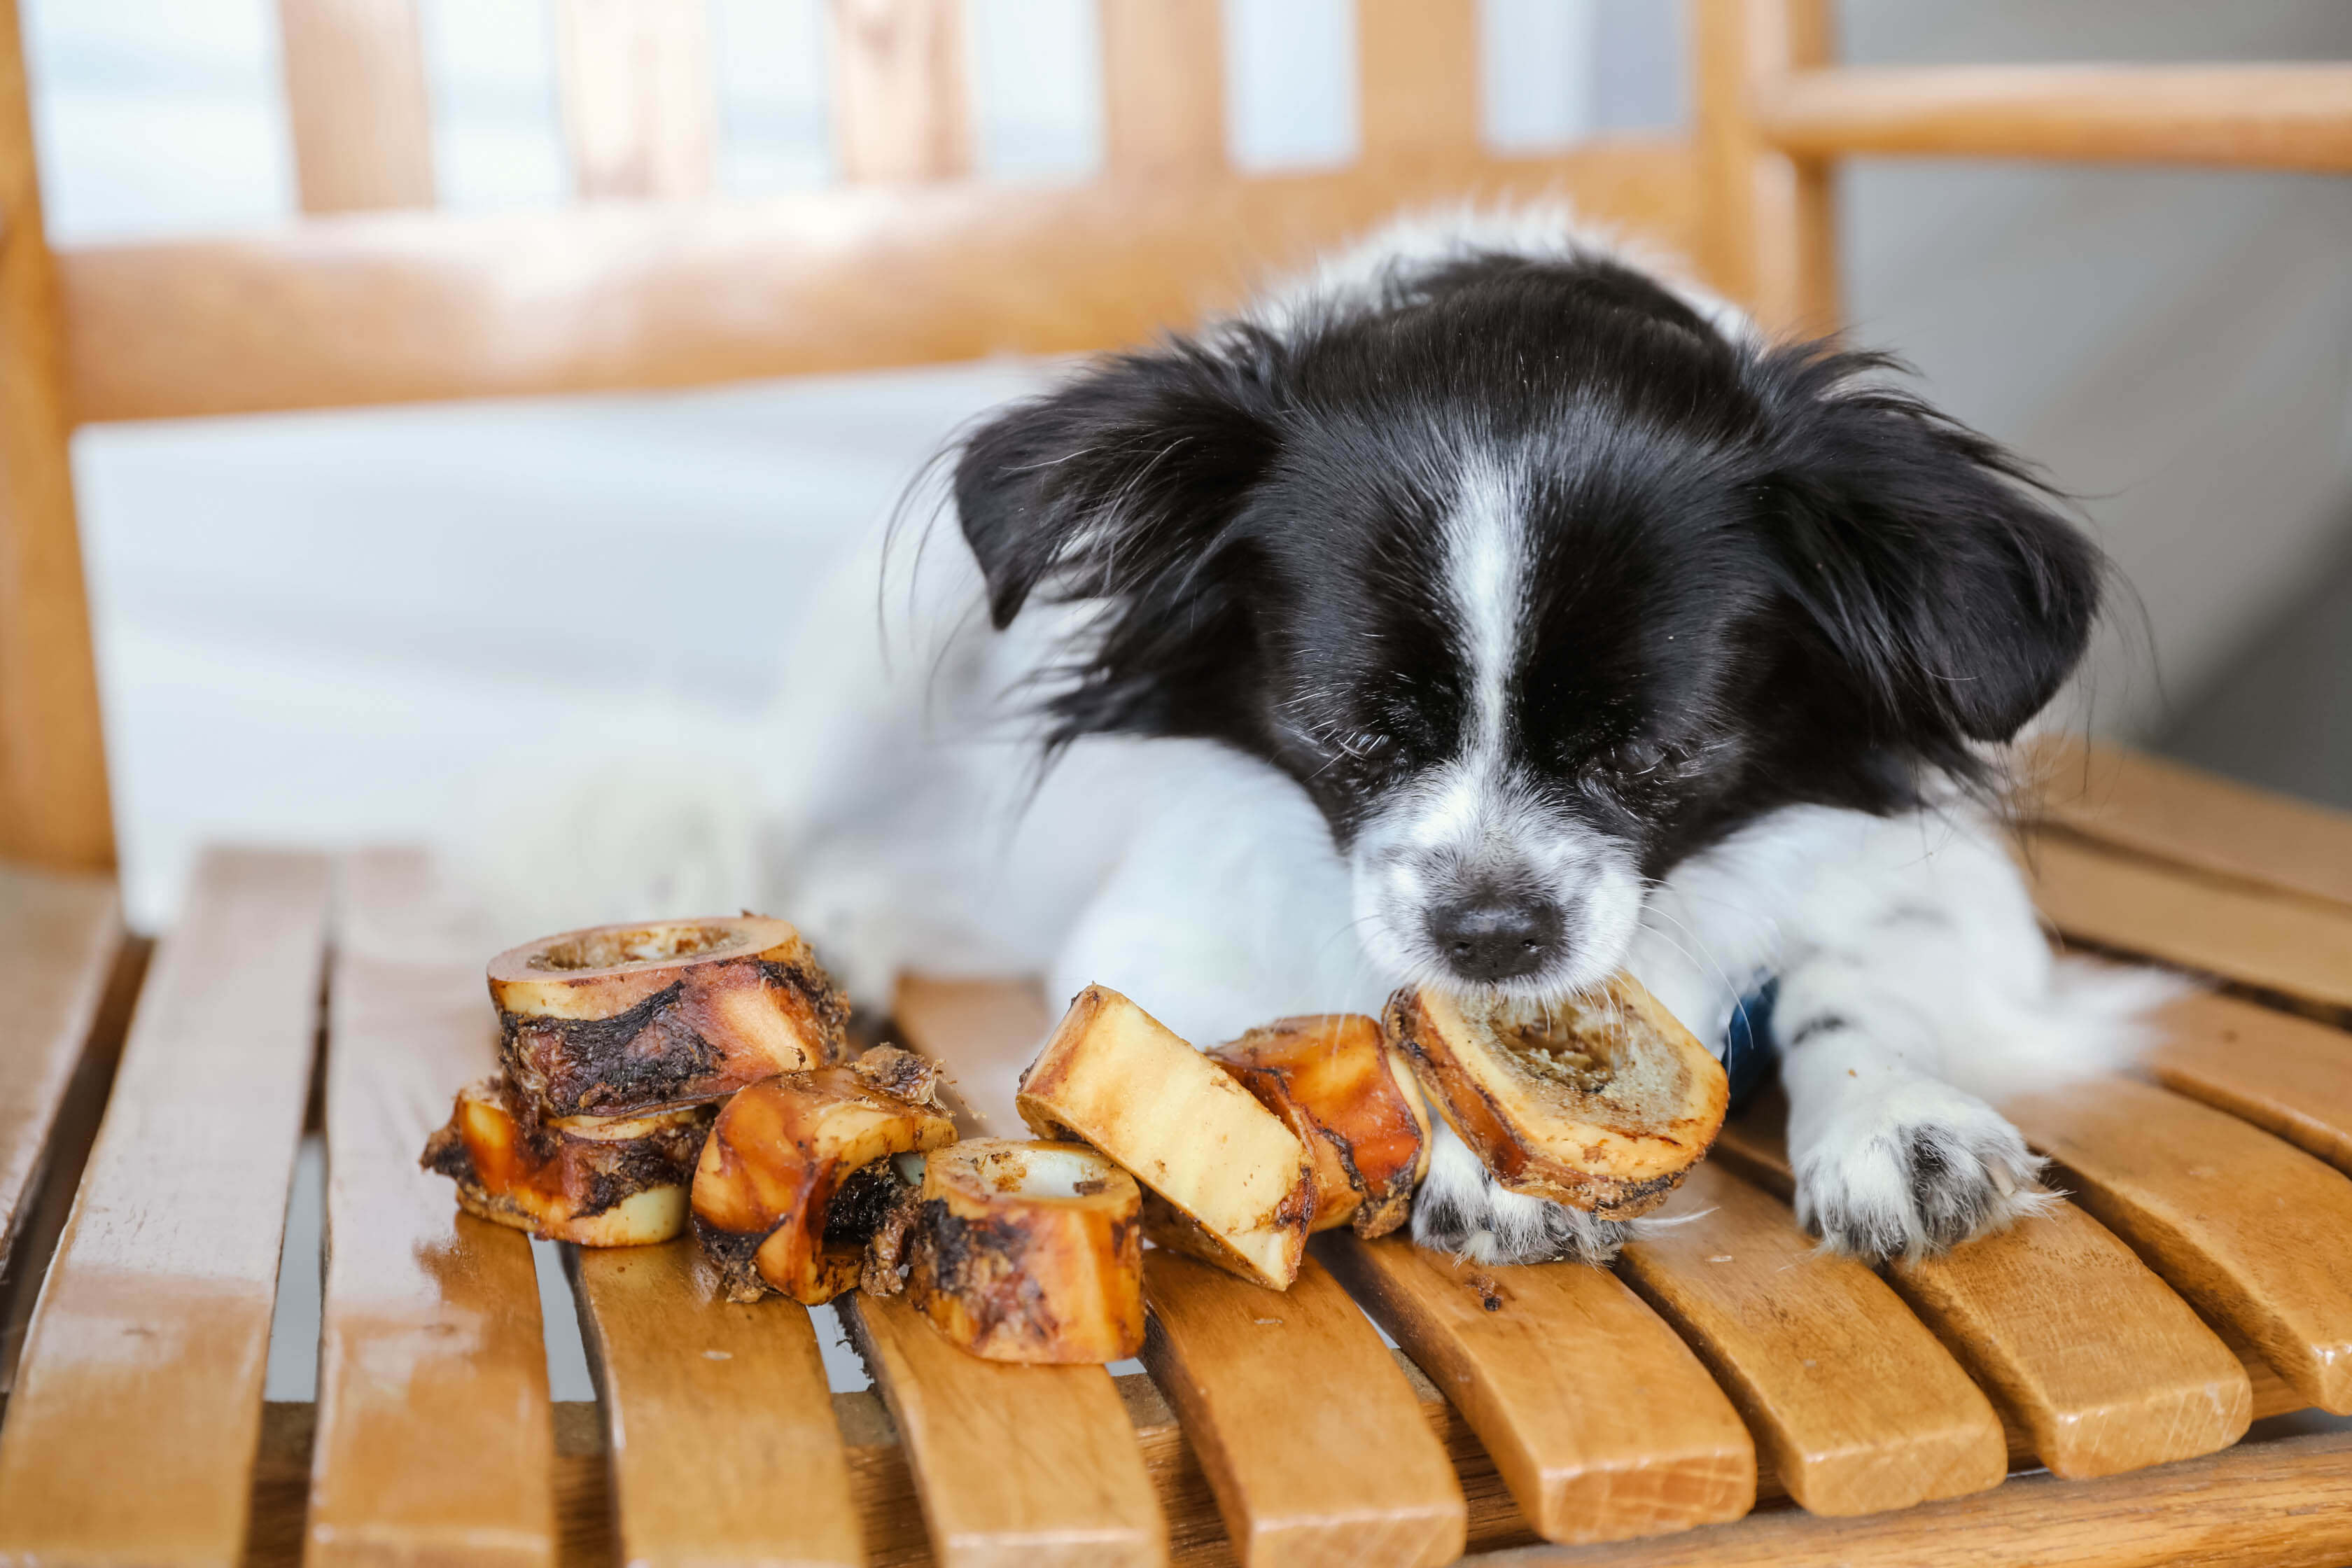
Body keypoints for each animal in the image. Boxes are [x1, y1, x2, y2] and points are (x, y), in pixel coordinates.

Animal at [720, 205, 2183, 1260]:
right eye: (1347, 737)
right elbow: (1370, 1033)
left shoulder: (1945, 894)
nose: (1490, 929)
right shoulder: (1156, 947)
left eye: (1656, 756)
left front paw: (1895, 1117)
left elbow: (1861, 979)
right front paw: (1486, 1151)